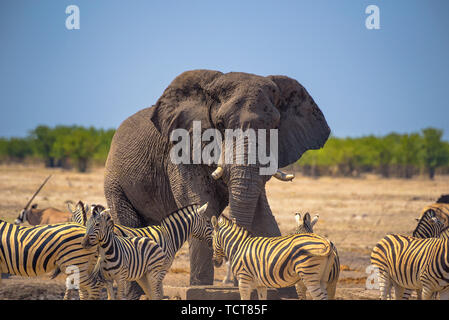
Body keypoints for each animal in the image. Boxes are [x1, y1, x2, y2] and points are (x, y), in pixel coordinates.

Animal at [104, 69, 328, 298]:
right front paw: (199, 288)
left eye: (274, 127)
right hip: (114, 182)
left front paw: (284, 291)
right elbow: (202, 202)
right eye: (220, 125)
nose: (222, 261)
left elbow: (262, 214)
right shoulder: (180, 149)